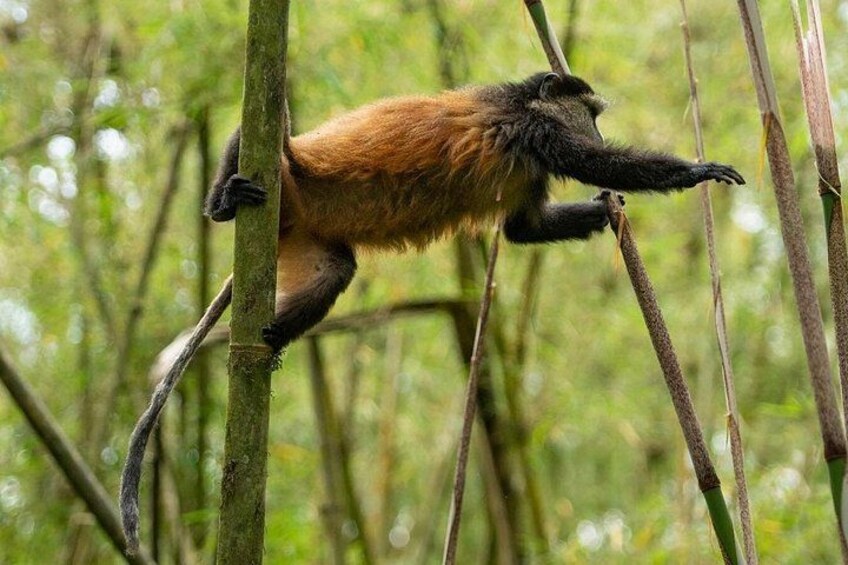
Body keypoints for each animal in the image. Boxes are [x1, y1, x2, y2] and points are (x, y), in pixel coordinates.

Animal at [205, 71, 744, 351]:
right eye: (590, 115)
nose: (595, 129)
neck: (523, 104)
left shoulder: (533, 167)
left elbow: (524, 229)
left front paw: (605, 211)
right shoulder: (537, 131)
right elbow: (600, 163)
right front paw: (697, 171)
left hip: (302, 233)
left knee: (335, 271)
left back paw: (274, 337)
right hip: (285, 173)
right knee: (256, 133)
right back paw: (224, 203)